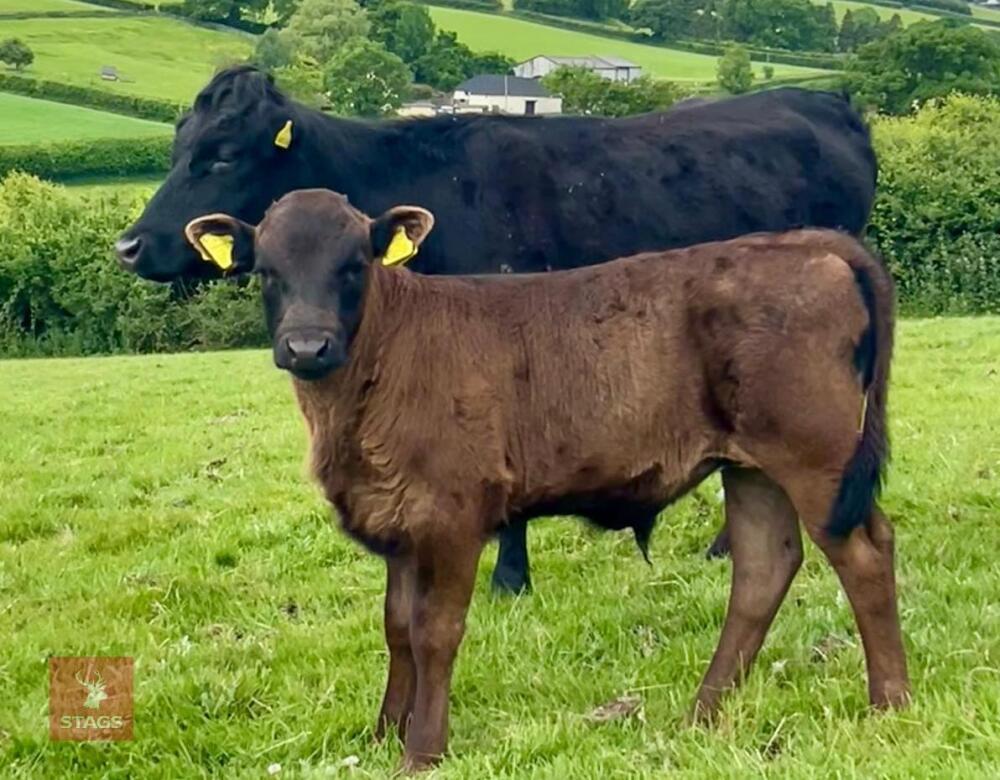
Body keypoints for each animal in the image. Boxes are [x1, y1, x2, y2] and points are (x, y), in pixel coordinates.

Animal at [183, 189, 909, 771]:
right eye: (267, 271)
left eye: (352, 265)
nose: (307, 346)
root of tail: (808, 242)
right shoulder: (396, 518)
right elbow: (395, 628)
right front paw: (385, 731)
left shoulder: (451, 516)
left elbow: (434, 631)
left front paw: (423, 750)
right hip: (753, 466)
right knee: (764, 566)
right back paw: (702, 713)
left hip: (815, 456)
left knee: (865, 553)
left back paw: (890, 704)